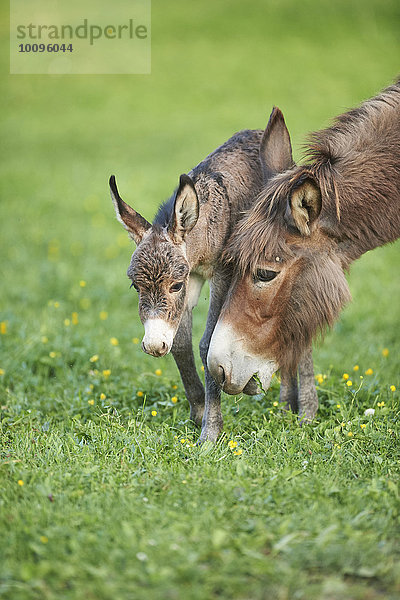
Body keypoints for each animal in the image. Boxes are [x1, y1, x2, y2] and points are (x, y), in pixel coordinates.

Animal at [109, 111, 316, 440]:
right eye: (134, 286)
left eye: (174, 285)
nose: (153, 345)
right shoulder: (194, 276)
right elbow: (181, 343)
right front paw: (198, 412)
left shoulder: (222, 273)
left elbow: (207, 344)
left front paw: (210, 433)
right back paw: (284, 406)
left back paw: (304, 413)